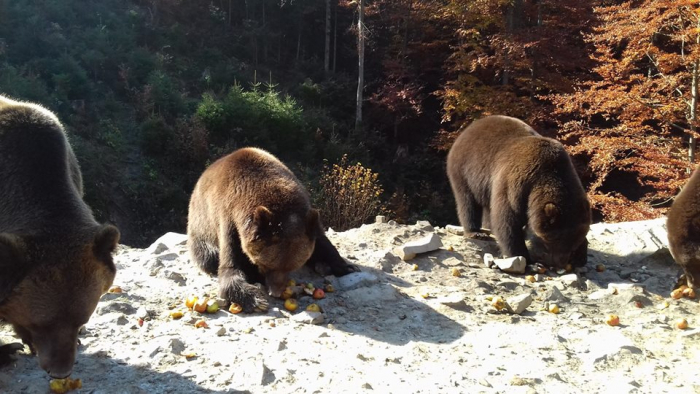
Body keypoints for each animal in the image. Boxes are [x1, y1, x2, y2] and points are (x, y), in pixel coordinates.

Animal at [187, 146, 358, 312]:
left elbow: (322, 242)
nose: (275, 292)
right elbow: (230, 267)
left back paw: (322, 266)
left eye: (292, 266)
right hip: (201, 229)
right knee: (208, 256)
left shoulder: (306, 219)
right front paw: (255, 299)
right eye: (265, 265)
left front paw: (346, 266)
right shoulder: (229, 220)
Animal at [446, 114, 588, 268]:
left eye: (573, 243)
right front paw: (525, 259)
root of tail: (469, 128)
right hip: (466, 170)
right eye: (556, 240)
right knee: (468, 202)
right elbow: (507, 222)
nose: (560, 262)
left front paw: (580, 256)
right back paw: (476, 232)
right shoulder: (516, 185)